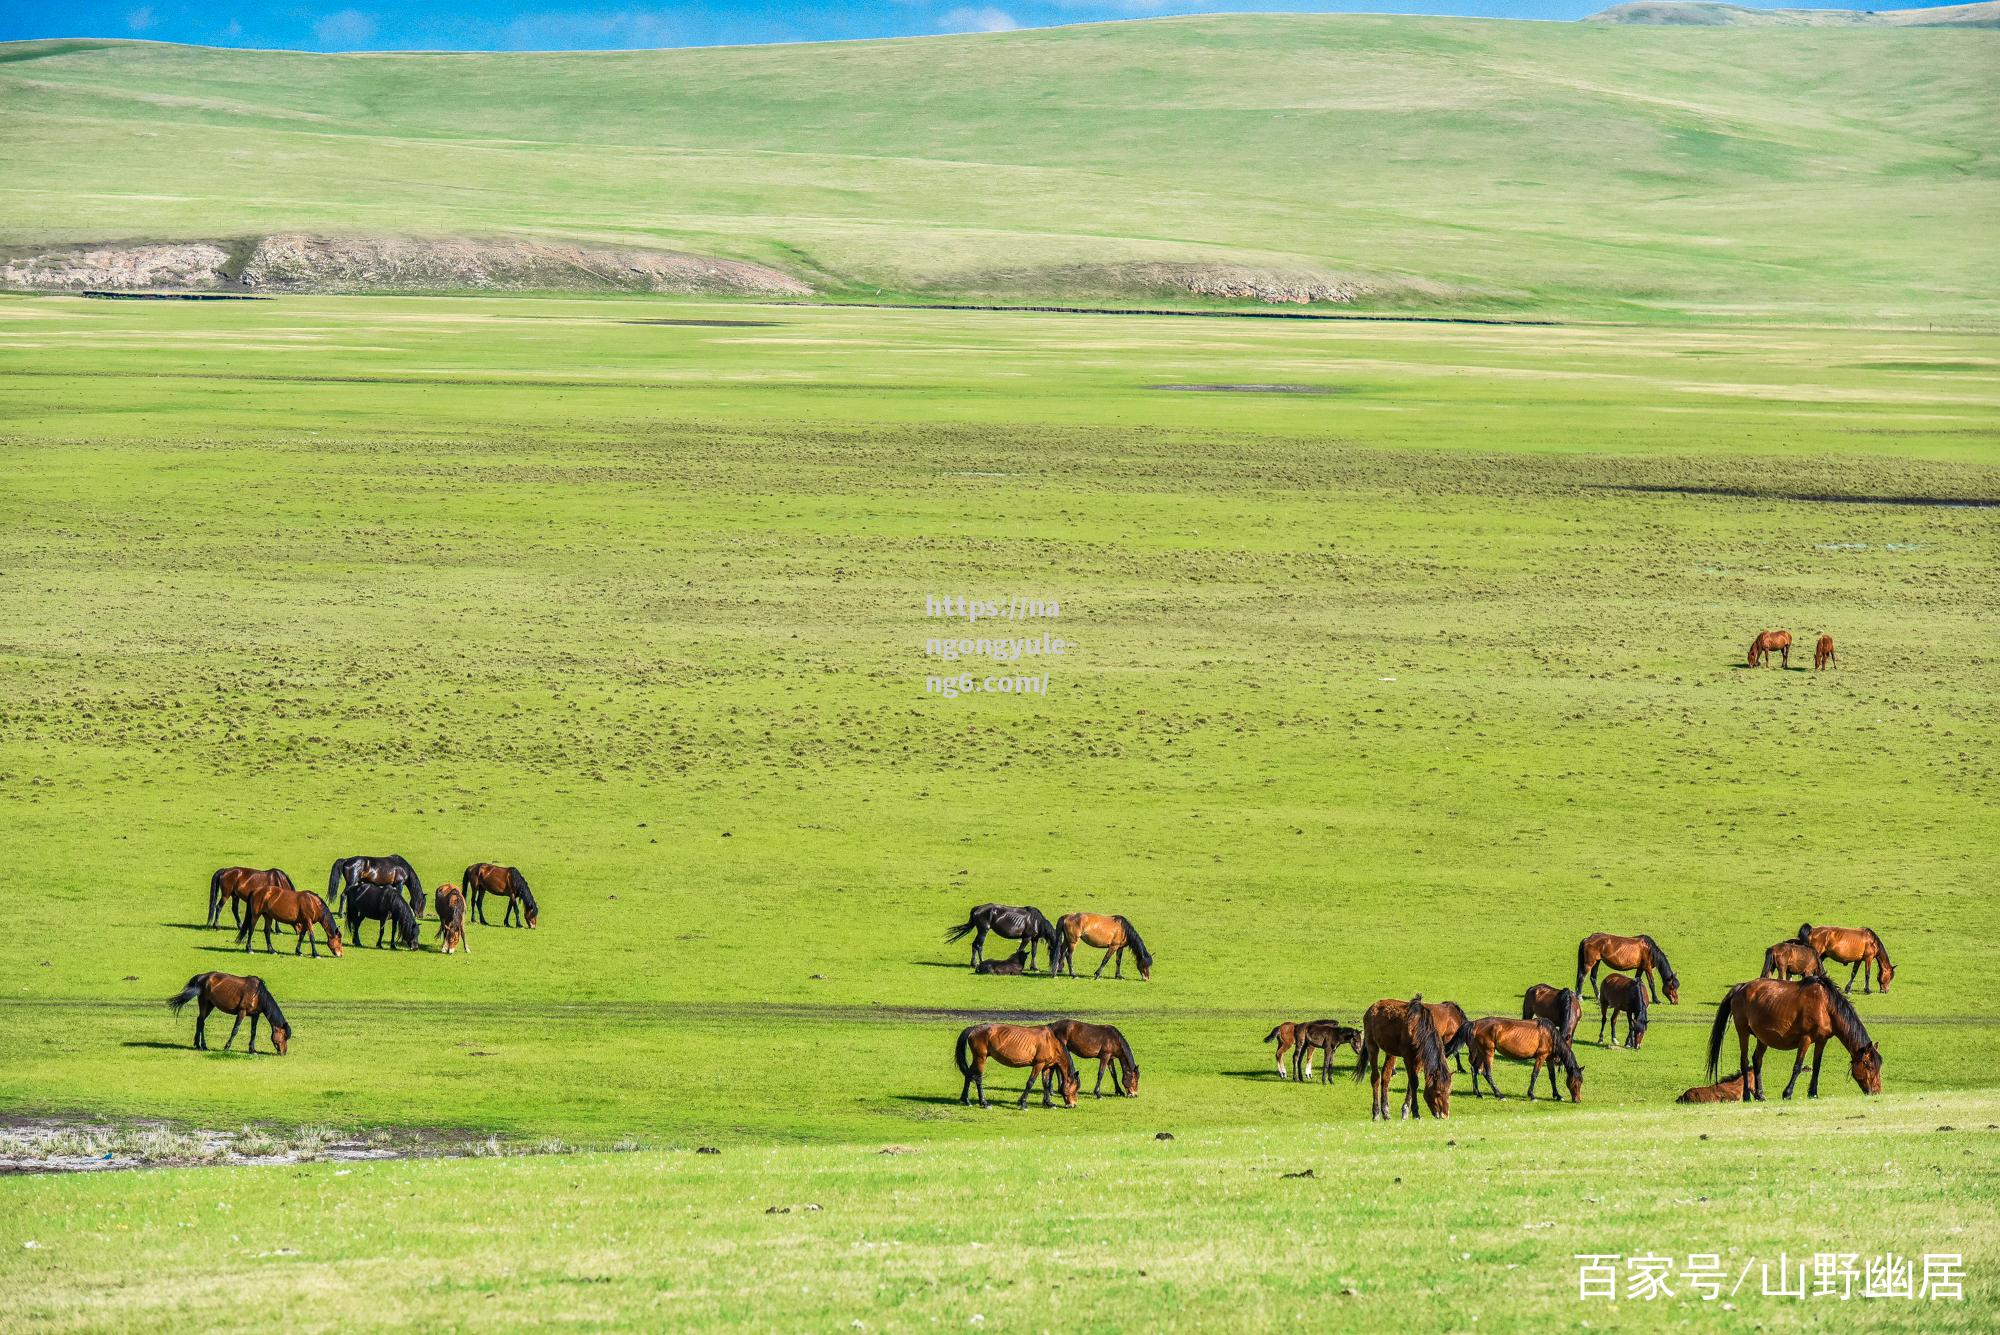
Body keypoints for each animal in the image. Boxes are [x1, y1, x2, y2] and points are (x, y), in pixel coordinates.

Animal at [952, 1023, 1080, 1103]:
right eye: (1076, 1089)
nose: (1073, 1105)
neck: (1051, 1042)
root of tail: (974, 1028)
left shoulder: (1046, 1067)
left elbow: (1046, 1084)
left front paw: (1048, 1103)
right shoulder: (1038, 1064)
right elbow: (1030, 1082)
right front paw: (1023, 1103)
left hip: (977, 1058)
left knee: (969, 1074)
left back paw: (966, 1100)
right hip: (981, 1058)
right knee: (978, 1078)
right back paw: (984, 1102)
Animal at [1712, 975, 1880, 1103]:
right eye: (1869, 1065)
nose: (1877, 1091)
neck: (1826, 1006)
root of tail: (1741, 987)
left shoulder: (1822, 1040)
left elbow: (1817, 1066)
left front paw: (1813, 1093)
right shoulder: (1805, 1039)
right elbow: (1798, 1067)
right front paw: (1787, 1093)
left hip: (1762, 1038)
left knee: (1757, 1060)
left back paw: (1760, 1095)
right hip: (1743, 1032)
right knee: (1745, 1061)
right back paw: (1747, 1096)